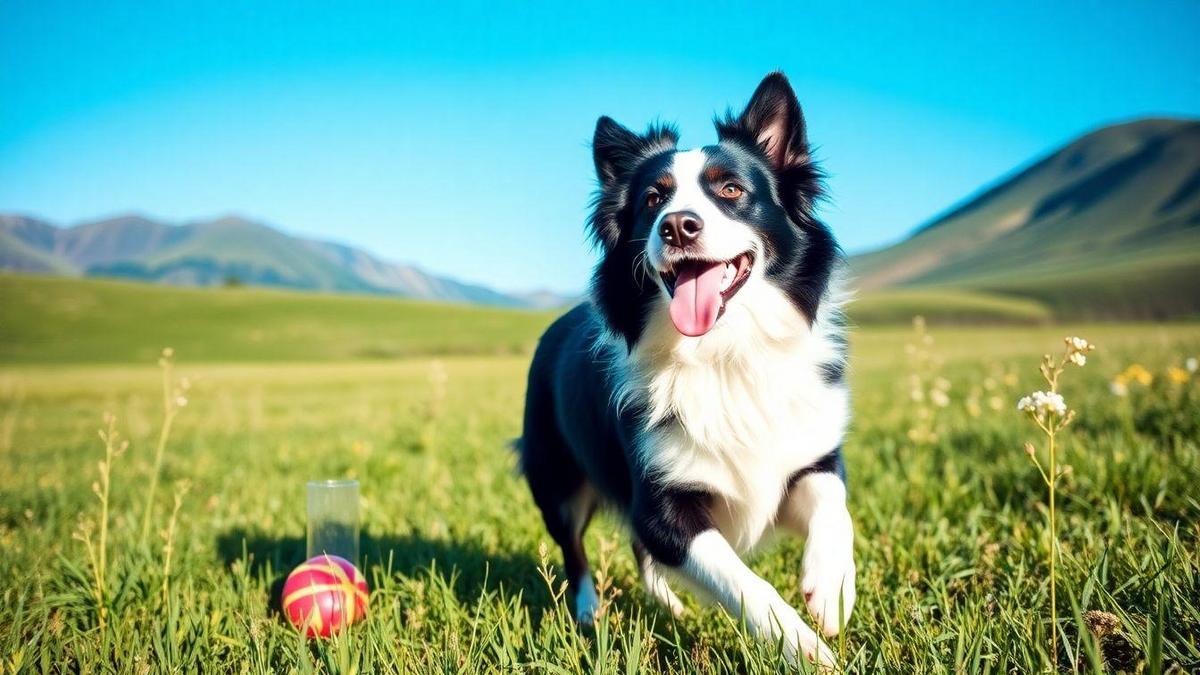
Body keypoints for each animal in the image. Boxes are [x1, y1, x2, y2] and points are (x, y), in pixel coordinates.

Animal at [518, 72, 854, 662]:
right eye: (653, 199)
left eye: (732, 190)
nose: (677, 226)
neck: (724, 351)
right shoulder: (662, 506)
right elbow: (744, 583)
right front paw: (804, 647)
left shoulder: (804, 451)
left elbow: (832, 500)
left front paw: (831, 589)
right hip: (555, 474)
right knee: (576, 547)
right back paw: (588, 612)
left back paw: (667, 606)